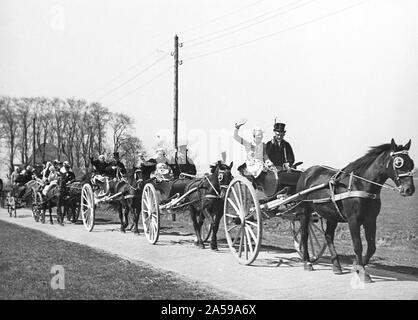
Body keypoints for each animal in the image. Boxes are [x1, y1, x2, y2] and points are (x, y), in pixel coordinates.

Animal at [296, 140, 416, 282]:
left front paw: (357, 266)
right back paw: (307, 262)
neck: (360, 184)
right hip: (304, 210)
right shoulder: (353, 220)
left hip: (332, 215)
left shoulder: (371, 220)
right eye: (398, 162)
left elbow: (372, 247)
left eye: (412, 162)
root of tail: (307, 172)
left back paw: (336, 266)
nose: (409, 189)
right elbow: (358, 245)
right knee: (304, 235)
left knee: (328, 236)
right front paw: (362, 272)